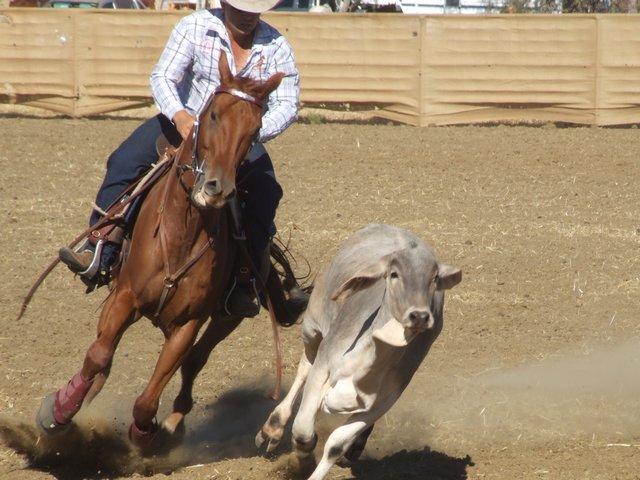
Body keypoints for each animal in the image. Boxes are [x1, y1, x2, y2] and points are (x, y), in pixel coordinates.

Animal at [255, 223, 462, 480]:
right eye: (394, 274)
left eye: (434, 278)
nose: (420, 316)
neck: (369, 359)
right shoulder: (323, 367)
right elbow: (303, 432)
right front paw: (300, 464)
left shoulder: (384, 400)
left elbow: (335, 446)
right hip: (312, 329)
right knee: (304, 366)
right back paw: (273, 427)